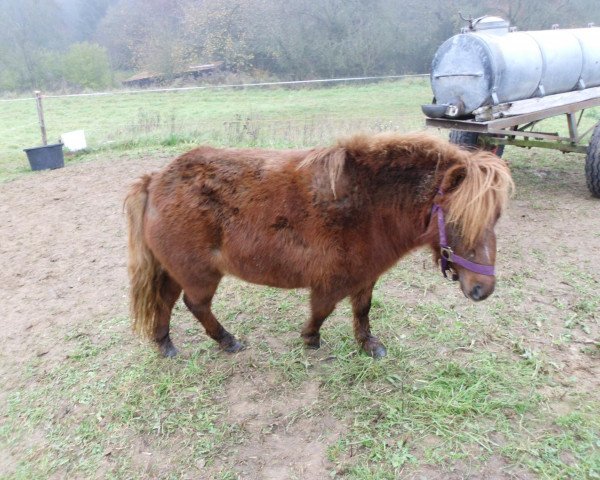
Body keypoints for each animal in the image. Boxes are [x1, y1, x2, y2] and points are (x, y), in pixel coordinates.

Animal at [124, 133, 512, 358]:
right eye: (458, 221)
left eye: (496, 218)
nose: (483, 289)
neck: (368, 208)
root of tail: (156, 180)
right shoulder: (332, 281)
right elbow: (322, 311)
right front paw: (310, 339)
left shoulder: (364, 277)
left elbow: (362, 310)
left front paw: (368, 344)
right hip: (199, 273)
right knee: (195, 304)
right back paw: (226, 341)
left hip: (176, 270)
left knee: (166, 301)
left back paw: (164, 344)